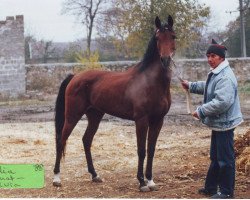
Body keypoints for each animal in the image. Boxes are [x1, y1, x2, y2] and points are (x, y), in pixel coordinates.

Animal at [53, 14, 176, 191]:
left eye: (173, 36)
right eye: (158, 38)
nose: (165, 60)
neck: (150, 82)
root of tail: (75, 76)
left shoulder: (158, 120)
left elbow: (151, 150)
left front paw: (151, 181)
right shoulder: (141, 120)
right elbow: (141, 150)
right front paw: (141, 182)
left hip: (95, 116)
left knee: (86, 140)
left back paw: (95, 175)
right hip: (72, 116)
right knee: (61, 140)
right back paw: (56, 178)